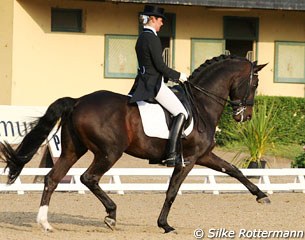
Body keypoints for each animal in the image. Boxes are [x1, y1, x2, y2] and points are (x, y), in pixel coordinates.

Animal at [0, 54, 268, 232]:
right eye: (254, 84)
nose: (245, 116)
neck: (202, 104)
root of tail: (77, 101)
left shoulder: (204, 156)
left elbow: (234, 170)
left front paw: (262, 195)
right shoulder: (189, 159)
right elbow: (172, 191)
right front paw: (165, 225)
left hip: (73, 150)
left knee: (52, 178)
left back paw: (45, 223)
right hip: (109, 152)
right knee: (88, 178)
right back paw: (111, 215)